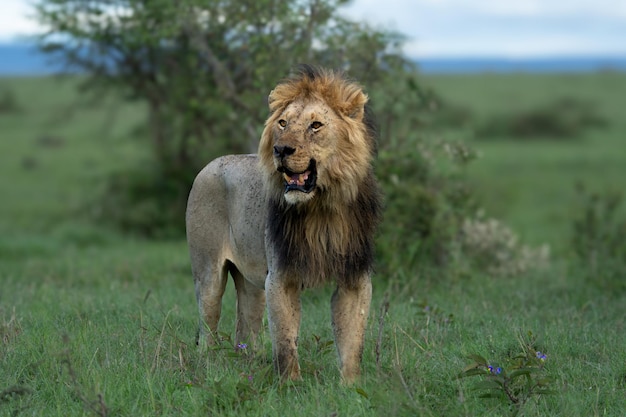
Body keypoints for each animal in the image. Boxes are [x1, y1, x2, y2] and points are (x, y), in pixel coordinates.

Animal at [185, 64, 380, 380]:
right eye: (283, 123)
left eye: (316, 125)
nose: (281, 150)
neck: (321, 208)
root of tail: (211, 163)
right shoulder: (280, 276)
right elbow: (286, 340)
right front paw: (290, 384)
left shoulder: (355, 277)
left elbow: (353, 342)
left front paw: (351, 386)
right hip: (208, 273)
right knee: (207, 329)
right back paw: (209, 368)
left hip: (251, 281)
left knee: (246, 328)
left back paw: (249, 364)